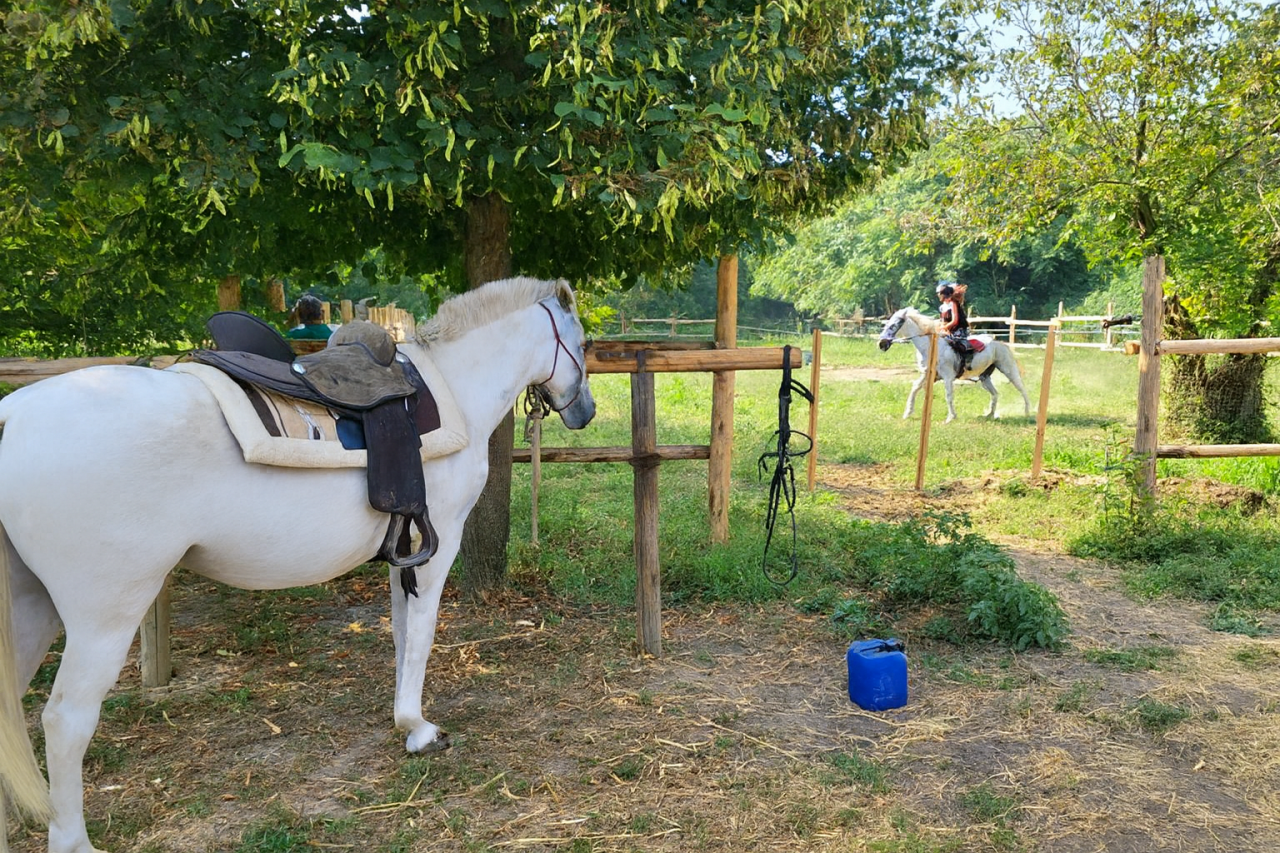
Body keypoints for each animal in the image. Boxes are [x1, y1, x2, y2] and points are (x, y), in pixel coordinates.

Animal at [0, 276, 595, 853]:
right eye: (583, 342)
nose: (585, 411)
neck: (453, 385)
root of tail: (12, 416)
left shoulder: (402, 547)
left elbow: (401, 631)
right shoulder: (438, 542)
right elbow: (422, 632)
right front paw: (419, 729)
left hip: (31, 607)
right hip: (105, 615)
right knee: (66, 720)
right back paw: (74, 840)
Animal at [878, 307, 1031, 423]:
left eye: (893, 326)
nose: (881, 344)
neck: (931, 348)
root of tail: (1000, 343)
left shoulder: (947, 377)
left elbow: (948, 395)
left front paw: (951, 417)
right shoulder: (927, 375)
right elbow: (914, 388)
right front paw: (907, 413)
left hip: (1008, 369)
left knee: (1022, 389)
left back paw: (1027, 412)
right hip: (984, 377)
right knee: (995, 394)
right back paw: (990, 414)